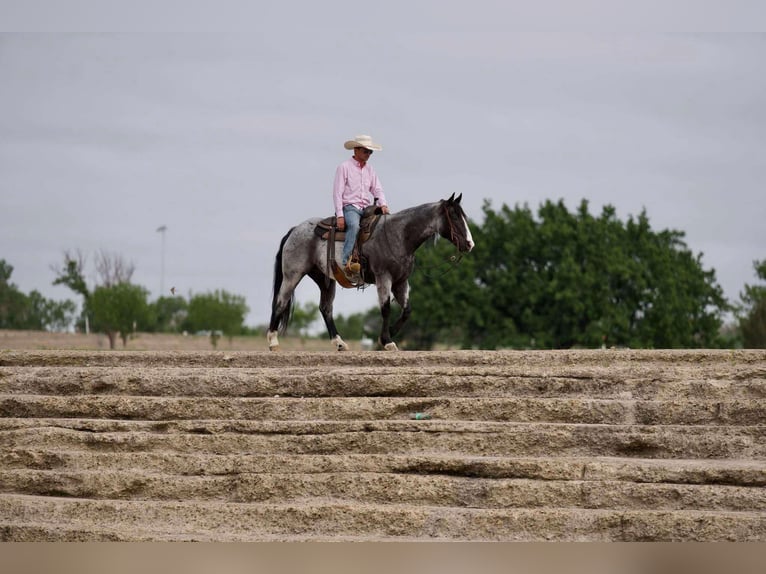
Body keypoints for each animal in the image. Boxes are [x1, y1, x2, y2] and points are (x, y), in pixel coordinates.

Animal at [268, 194, 474, 352]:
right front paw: (387, 341)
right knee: (280, 302)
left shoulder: (401, 281)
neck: (399, 235)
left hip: (324, 279)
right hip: (293, 275)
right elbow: (386, 308)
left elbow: (407, 310)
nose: (470, 244)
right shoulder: (384, 278)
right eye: (454, 216)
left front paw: (389, 334)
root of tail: (295, 230)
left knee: (325, 308)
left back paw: (340, 343)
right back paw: (273, 342)